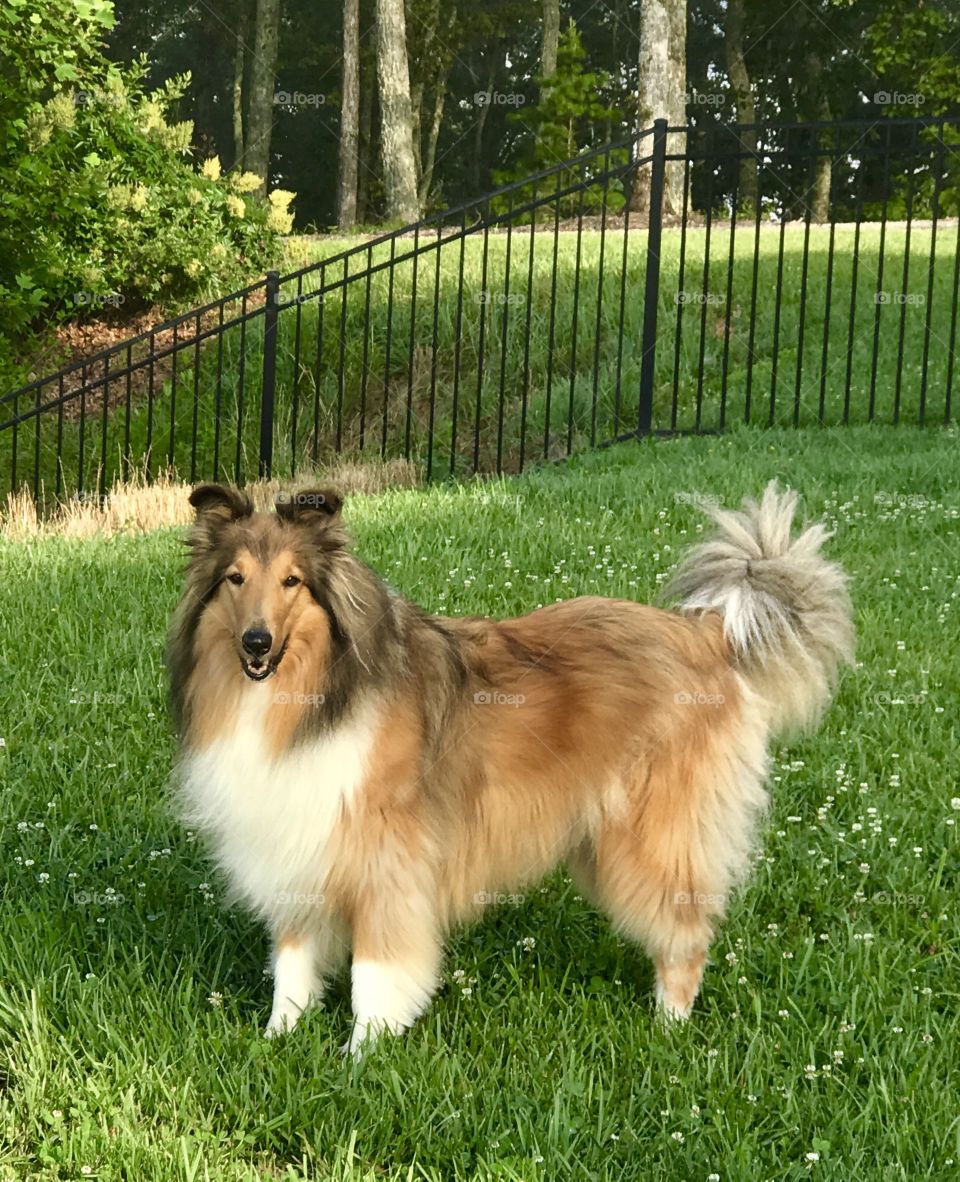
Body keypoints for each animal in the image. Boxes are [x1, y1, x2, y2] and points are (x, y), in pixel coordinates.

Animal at [169, 479, 851, 1054]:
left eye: (292, 581)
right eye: (234, 578)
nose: (256, 643)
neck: (314, 697)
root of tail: (708, 632)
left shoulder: (386, 861)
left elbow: (375, 972)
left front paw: (362, 1054)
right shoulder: (296, 838)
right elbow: (292, 960)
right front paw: (276, 1040)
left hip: (650, 836)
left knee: (686, 934)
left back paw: (669, 1028)